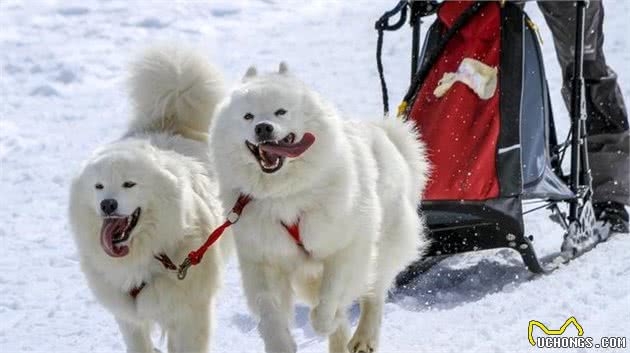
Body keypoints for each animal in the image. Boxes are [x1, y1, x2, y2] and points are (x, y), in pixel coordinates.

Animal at [70, 46, 228, 352]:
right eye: (98, 187)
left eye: (129, 184)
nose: (108, 204)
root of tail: (169, 119)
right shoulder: (129, 318)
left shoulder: (190, 315)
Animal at [210, 64, 432, 352]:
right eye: (248, 116)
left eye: (281, 111)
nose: (263, 128)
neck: (284, 195)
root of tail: (388, 136)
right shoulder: (264, 259)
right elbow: (269, 310)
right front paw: (281, 342)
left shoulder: (346, 246)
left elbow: (331, 297)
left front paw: (325, 320)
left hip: (384, 244)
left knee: (375, 293)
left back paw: (364, 338)